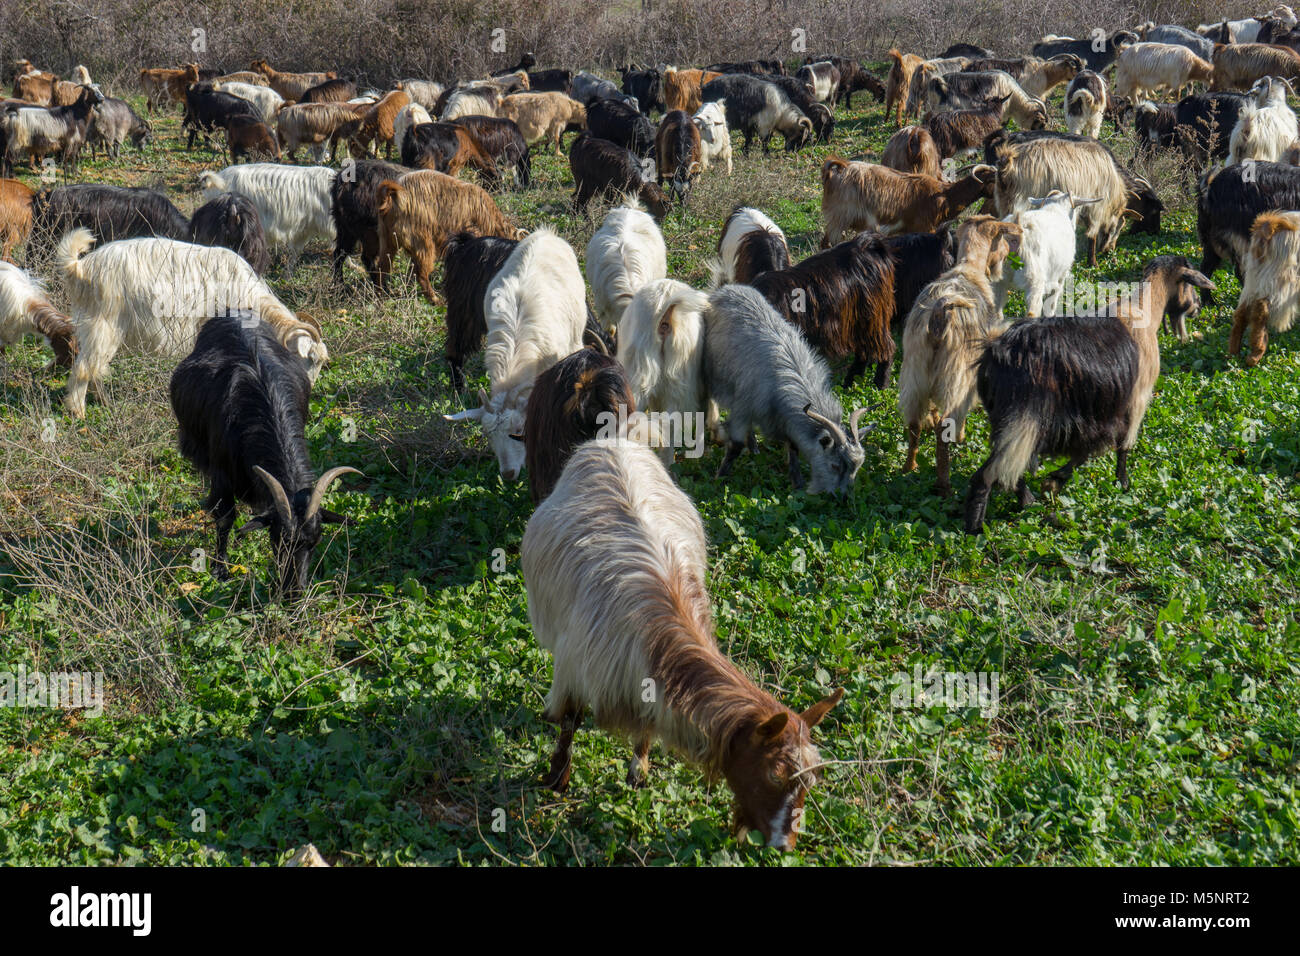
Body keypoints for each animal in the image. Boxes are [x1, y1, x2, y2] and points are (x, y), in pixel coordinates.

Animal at [170, 314, 361, 595]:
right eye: (278, 541)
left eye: (314, 543)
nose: (294, 592)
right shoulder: (222, 472)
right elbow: (225, 518)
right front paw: (220, 569)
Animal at [374, 170, 520, 304]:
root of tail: (393, 195)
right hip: (421, 238)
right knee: (421, 272)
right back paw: (434, 299)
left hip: (386, 237)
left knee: (383, 266)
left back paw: (381, 296)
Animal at [967, 257, 1206, 535]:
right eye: (1189, 286)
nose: (1198, 307)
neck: (1144, 311)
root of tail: (999, 351)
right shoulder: (1135, 399)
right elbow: (1121, 445)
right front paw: (1122, 484)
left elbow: (1087, 450)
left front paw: (1054, 481)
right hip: (1026, 418)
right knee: (991, 472)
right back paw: (976, 528)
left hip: (1011, 419)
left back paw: (1026, 502)